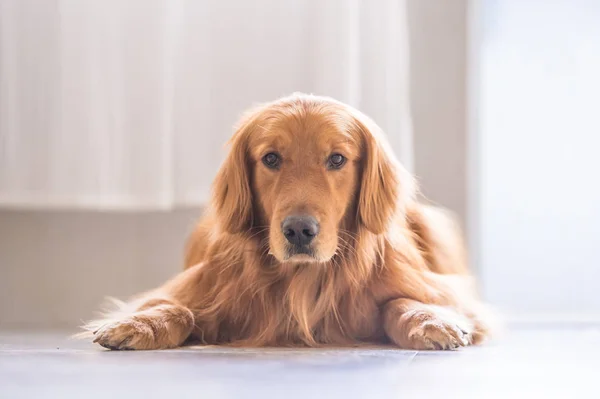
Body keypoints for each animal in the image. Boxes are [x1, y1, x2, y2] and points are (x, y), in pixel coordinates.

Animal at [82, 93, 494, 350]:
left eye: (337, 159)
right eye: (271, 158)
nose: (299, 230)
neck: (302, 278)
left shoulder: (437, 290)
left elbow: (405, 301)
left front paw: (431, 320)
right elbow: (174, 305)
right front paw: (139, 323)